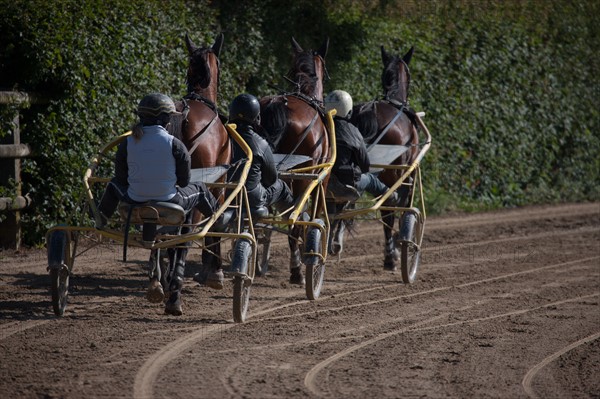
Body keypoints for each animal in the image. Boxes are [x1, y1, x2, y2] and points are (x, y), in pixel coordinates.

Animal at [350, 43, 420, 272]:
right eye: (409, 72)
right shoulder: (408, 173)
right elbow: (401, 205)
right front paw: (399, 245)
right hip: (391, 173)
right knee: (388, 206)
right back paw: (391, 256)